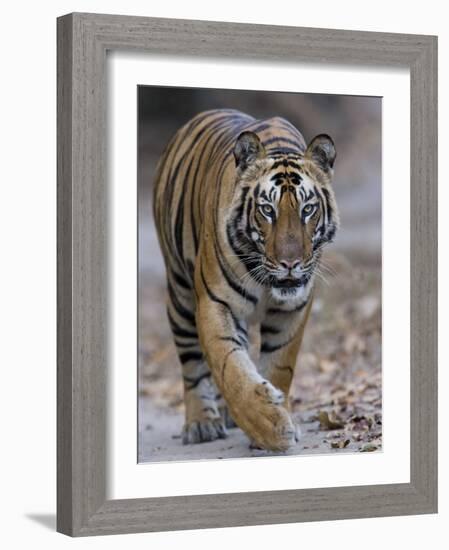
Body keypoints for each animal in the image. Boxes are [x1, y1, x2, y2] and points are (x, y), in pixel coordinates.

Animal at [152, 109, 338, 452]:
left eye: (308, 209)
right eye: (267, 210)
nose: (290, 264)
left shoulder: (293, 308)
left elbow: (279, 366)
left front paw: (278, 416)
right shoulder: (215, 303)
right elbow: (229, 367)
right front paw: (269, 427)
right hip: (181, 297)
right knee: (191, 364)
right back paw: (202, 423)